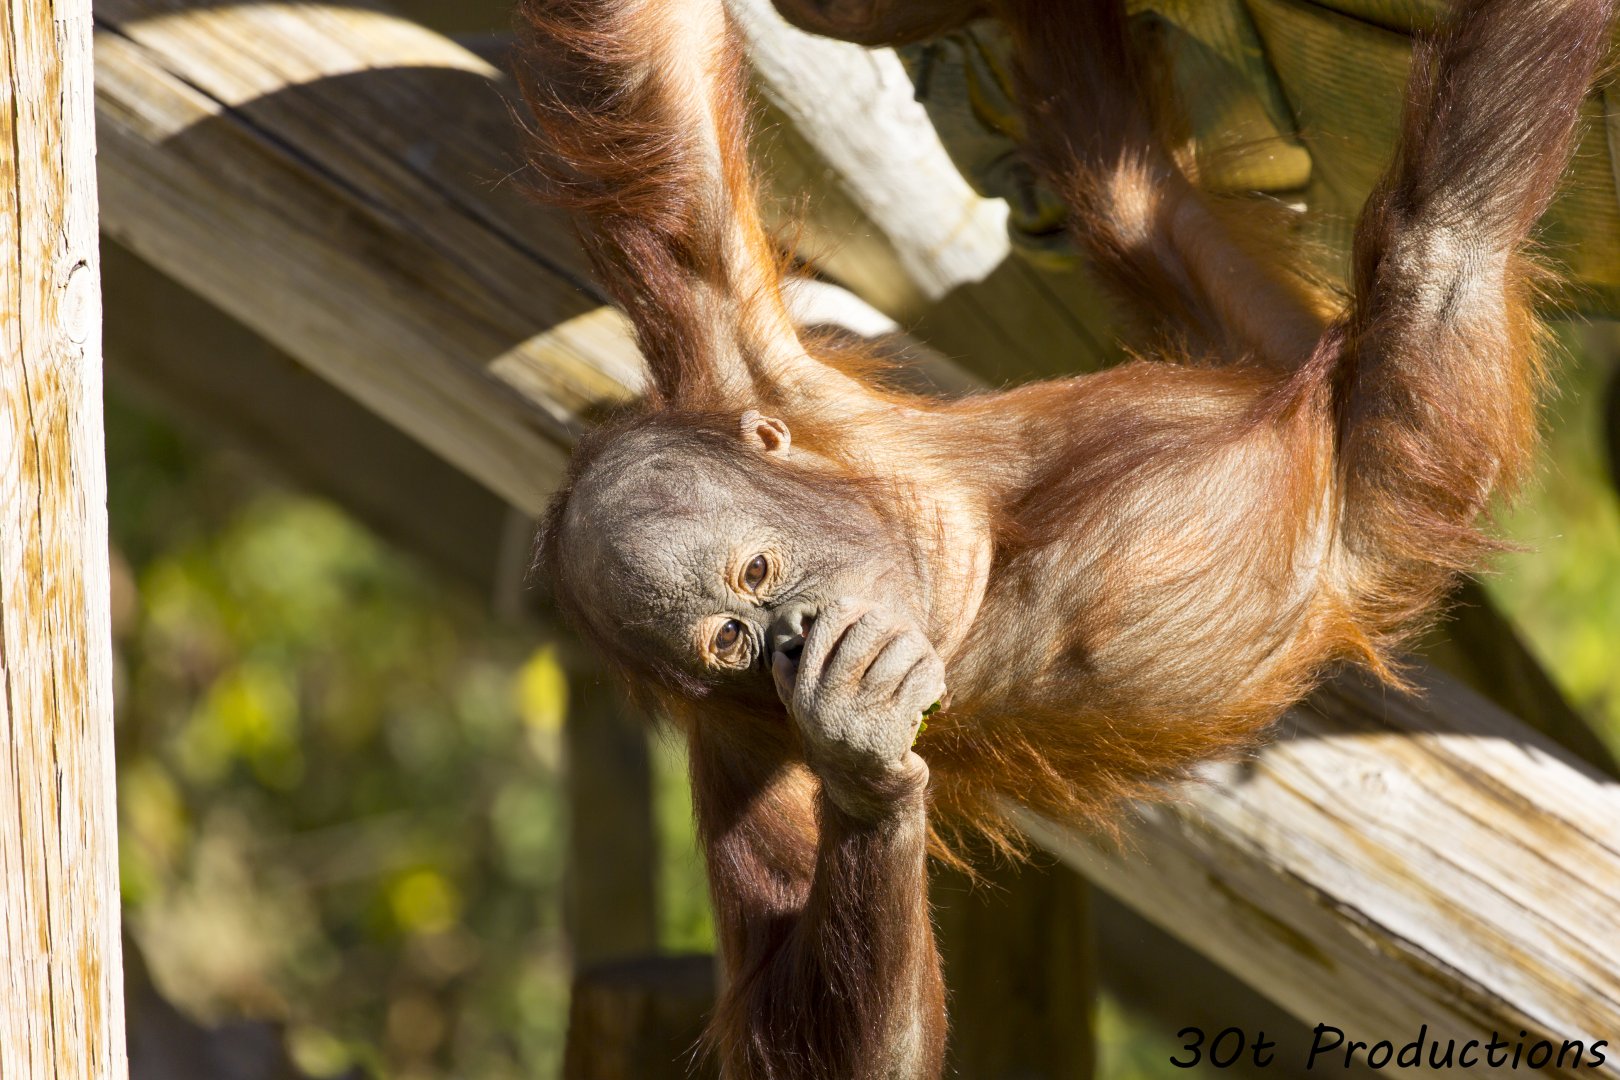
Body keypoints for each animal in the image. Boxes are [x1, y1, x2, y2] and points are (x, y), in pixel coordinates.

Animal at [513, 0, 1615, 1075]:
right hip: (1401, 436)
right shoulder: (737, 745)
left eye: (757, 569)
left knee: (1412, 227)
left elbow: (657, 97)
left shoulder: (738, 367)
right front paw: (863, 756)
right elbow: (809, 1034)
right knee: (1390, 234)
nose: (793, 630)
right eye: (730, 639)